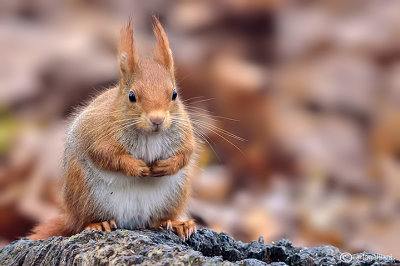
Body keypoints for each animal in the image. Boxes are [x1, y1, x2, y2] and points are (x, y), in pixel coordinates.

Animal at [27, 17, 198, 240]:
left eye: (174, 94)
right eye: (132, 96)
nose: (157, 120)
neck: (148, 134)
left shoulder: (185, 132)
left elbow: (187, 152)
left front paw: (167, 165)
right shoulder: (97, 134)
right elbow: (106, 155)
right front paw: (136, 167)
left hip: (174, 195)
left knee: (158, 220)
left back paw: (177, 223)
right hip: (85, 192)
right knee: (82, 221)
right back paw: (98, 224)